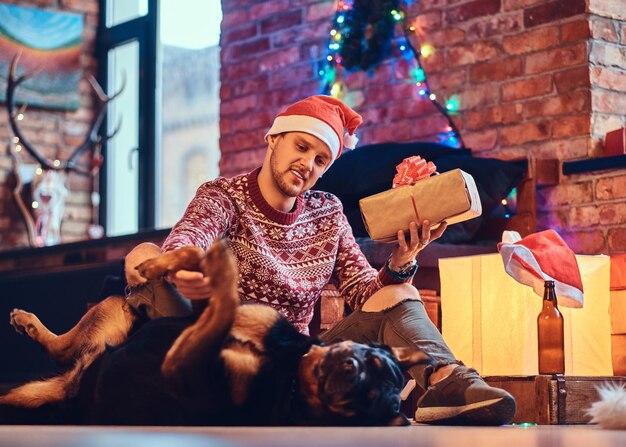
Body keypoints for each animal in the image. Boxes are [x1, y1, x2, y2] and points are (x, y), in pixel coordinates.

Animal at [0, 242, 432, 428]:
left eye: (368, 398)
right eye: (372, 360)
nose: (348, 368)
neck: (289, 366)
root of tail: (68, 389)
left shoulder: (183, 366)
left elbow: (223, 295)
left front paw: (219, 266)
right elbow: (193, 258)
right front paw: (162, 261)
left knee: (63, 352)